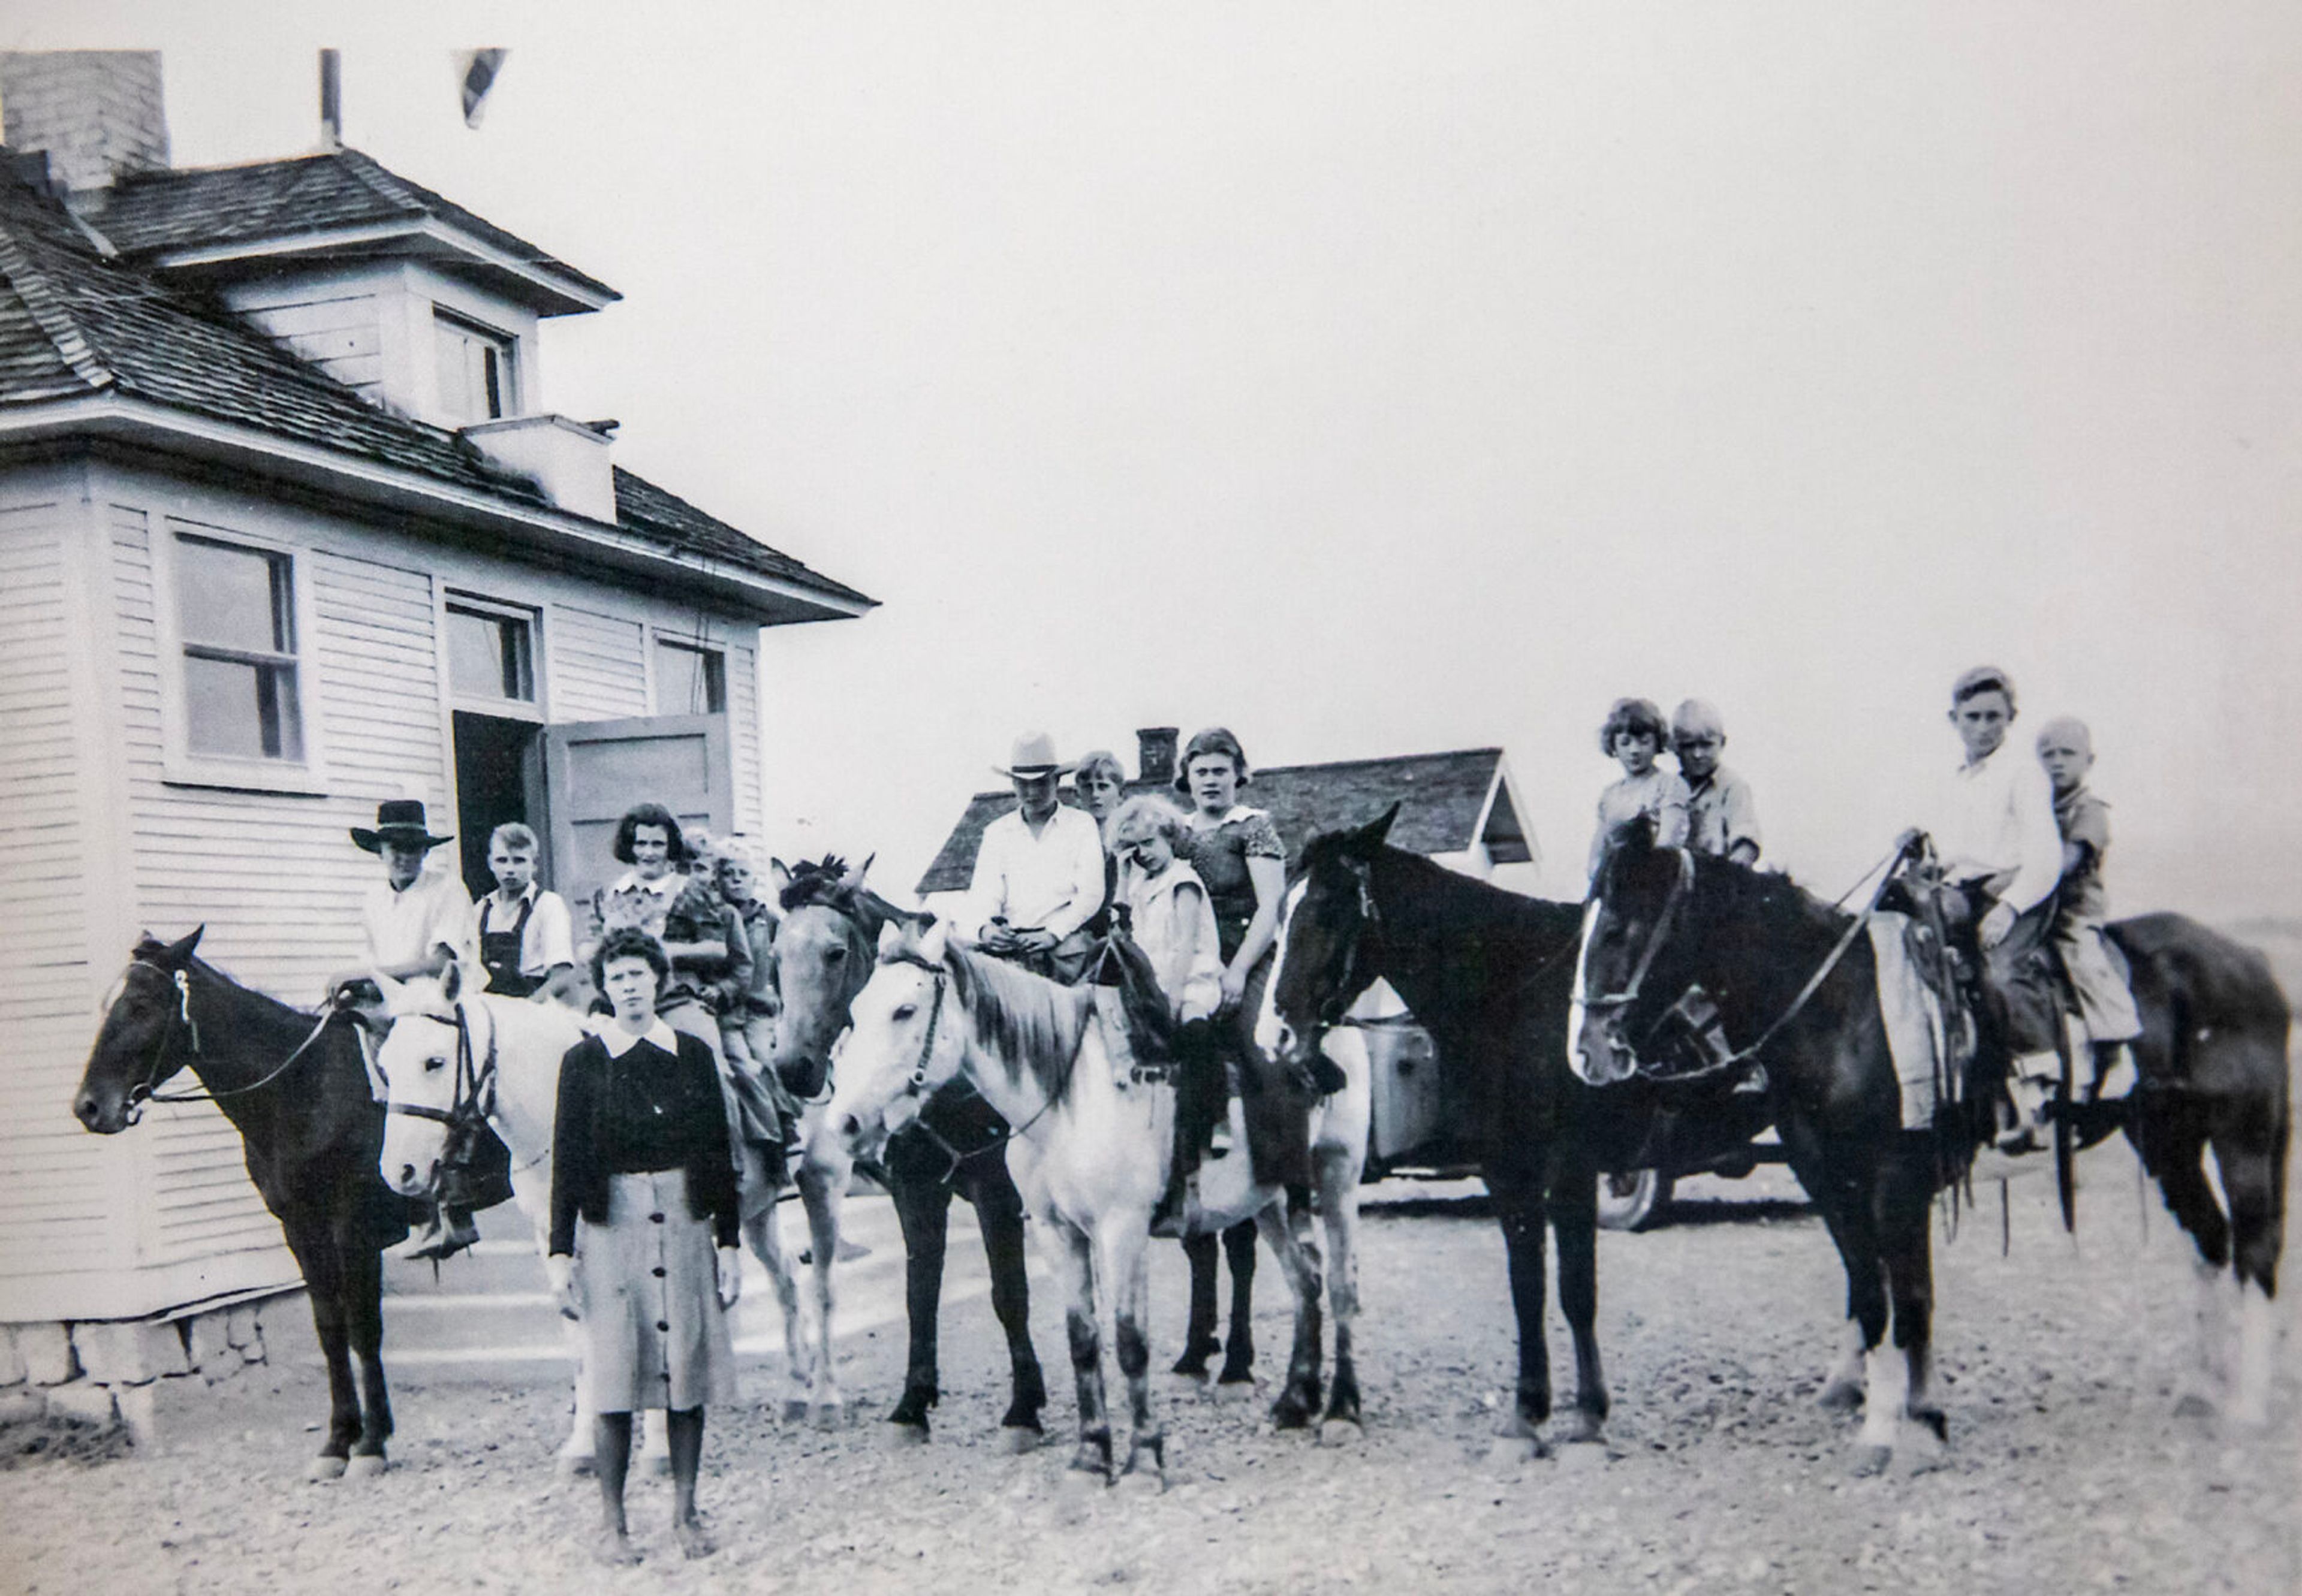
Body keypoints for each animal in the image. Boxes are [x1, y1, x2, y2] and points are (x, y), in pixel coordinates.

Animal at [68, 925, 409, 1474]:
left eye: (141, 1004)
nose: (90, 1107)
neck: (304, 1088)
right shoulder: (301, 1230)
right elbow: (330, 1327)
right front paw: (338, 1441)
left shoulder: (353, 1226)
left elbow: (363, 1328)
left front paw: (373, 1444)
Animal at [1574, 820, 2292, 1455]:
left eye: (1615, 929)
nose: (1586, 1053)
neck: (1842, 1008)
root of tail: (2250, 962)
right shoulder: (1828, 1179)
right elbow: (1873, 1293)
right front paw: (1903, 1410)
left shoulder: (1895, 1178)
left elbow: (1910, 1297)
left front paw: (1896, 1427)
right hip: (2167, 1138)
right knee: (2211, 1239)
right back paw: (2199, 1391)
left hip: (2243, 1137)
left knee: (2254, 1250)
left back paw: (2248, 1405)